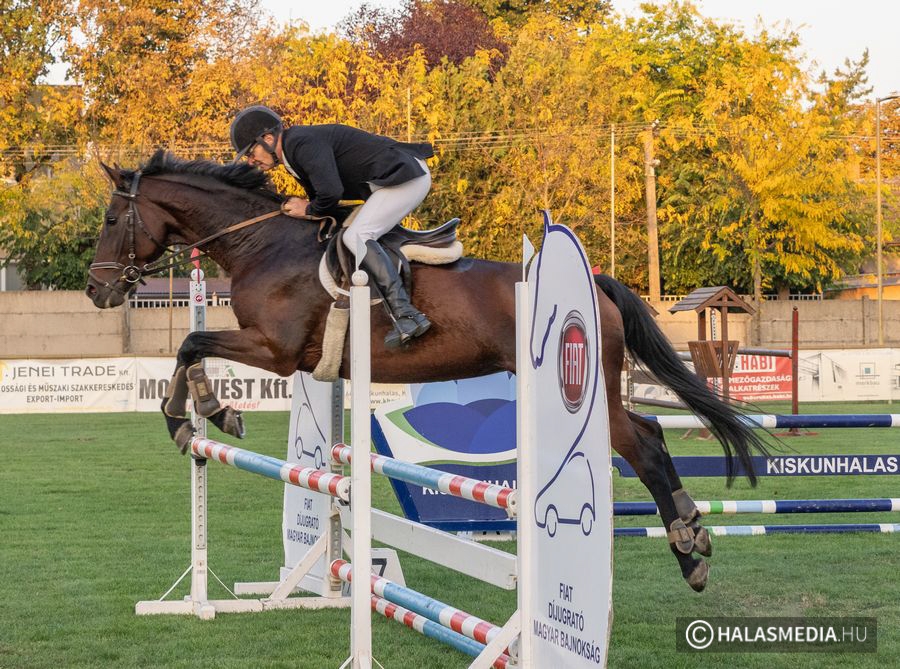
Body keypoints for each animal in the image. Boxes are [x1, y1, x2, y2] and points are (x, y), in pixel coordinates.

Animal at [86, 150, 770, 592]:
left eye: (114, 220)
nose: (97, 291)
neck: (263, 244)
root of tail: (595, 284)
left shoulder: (274, 350)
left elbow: (190, 342)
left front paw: (198, 416)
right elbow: (191, 347)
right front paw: (207, 414)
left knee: (644, 446)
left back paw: (691, 552)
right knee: (649, 433)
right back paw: (693, 541)